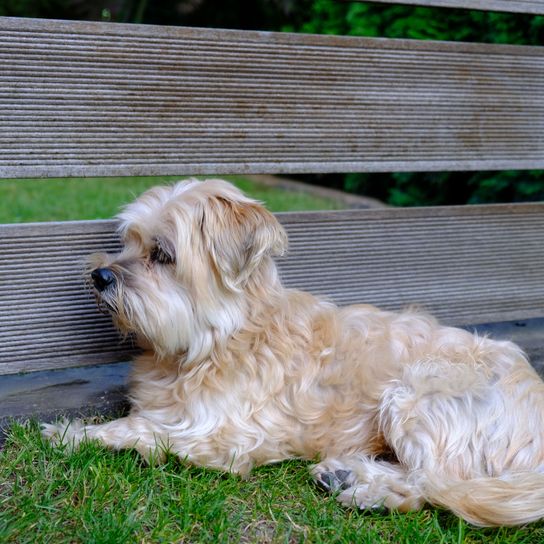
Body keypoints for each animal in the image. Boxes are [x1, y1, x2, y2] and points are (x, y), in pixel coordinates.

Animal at [40, 178, 544, 528]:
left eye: (162, 254)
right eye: (126, 242)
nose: (100, 275)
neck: (216, 341)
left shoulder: (223, 435)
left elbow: (139, 428)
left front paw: (71, 434)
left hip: (419, 393)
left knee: (434, 483)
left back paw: (368, 492)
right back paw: (346, 475)